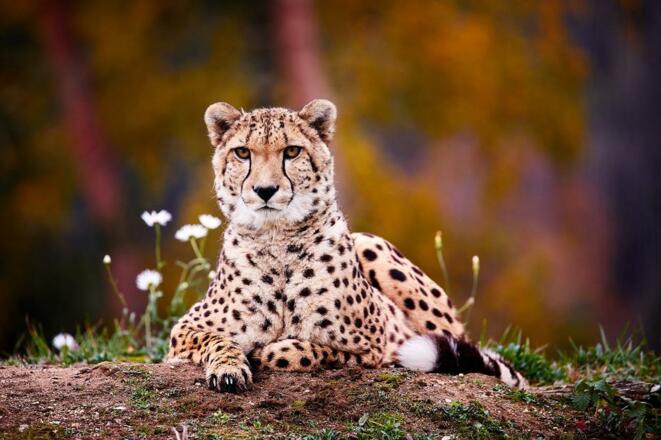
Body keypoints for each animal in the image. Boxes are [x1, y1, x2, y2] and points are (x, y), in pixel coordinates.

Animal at [166, 98, 526, 392]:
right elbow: (216, 339)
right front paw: (229, 369)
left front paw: (276, 349)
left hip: (372, 245)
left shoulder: (377, 346)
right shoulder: (183, 331)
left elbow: (312, 350)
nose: (265, 190)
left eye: (292, 151)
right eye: (242, 152)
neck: (278, 241)